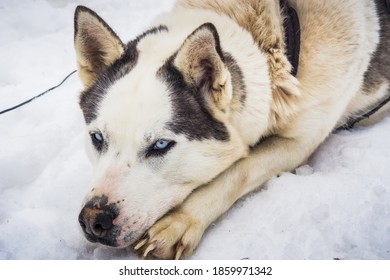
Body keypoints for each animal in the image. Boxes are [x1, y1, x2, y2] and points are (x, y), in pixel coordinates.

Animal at [74, 0, 388, 260]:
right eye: (97, 138)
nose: (93, 220)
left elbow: (240, 170)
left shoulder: (299, 141)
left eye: (160, 145)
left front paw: (181, 221)